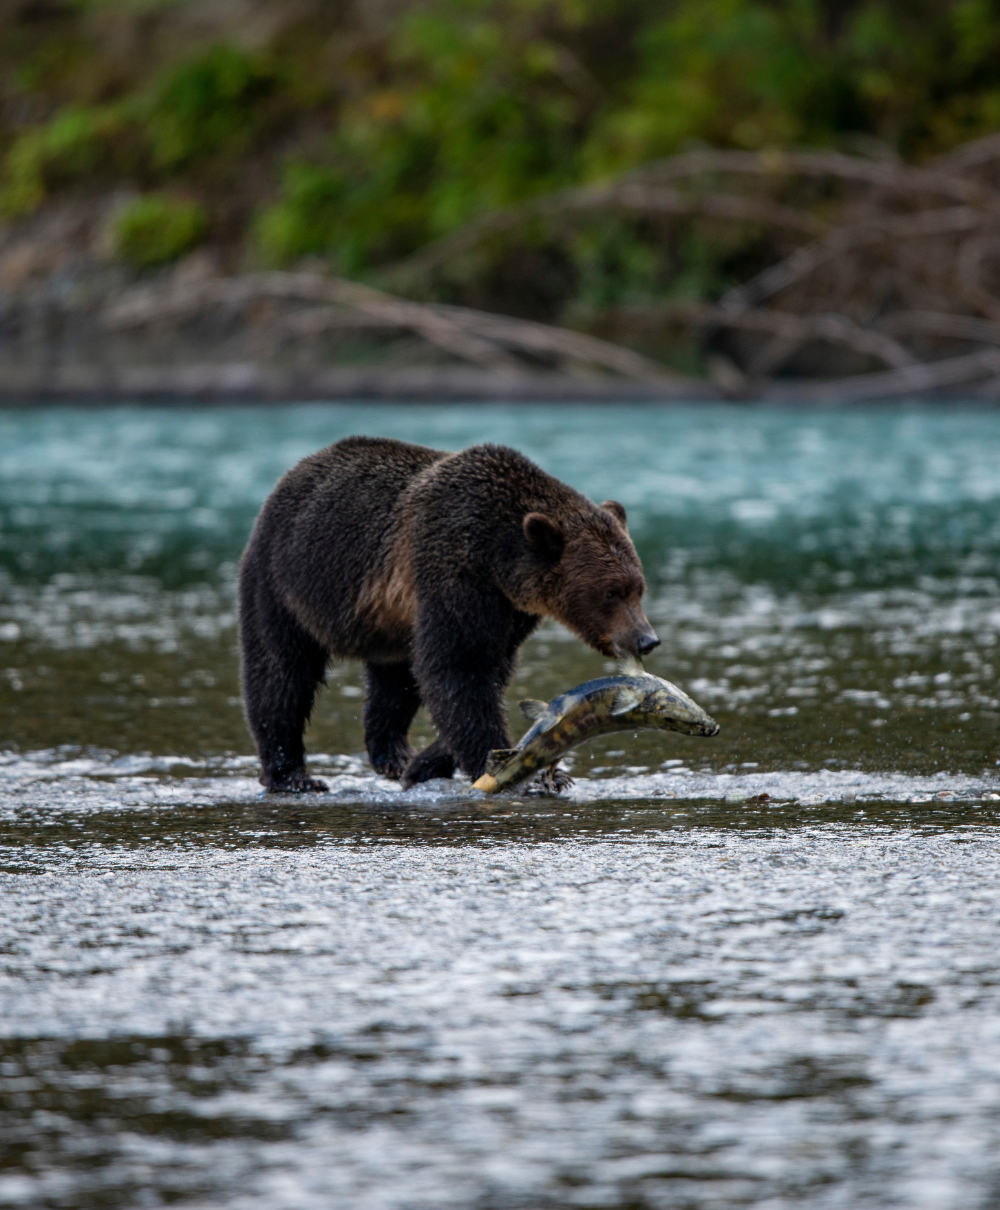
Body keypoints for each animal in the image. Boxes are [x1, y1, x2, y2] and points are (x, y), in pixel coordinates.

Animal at [237, 435, 658, 793]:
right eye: (610, 593)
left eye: (638, 587)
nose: (646, 639)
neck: (498, 556)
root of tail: (297, 470)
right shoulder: (454, 572)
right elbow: (458, 667)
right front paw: (517, 770)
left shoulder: (510, 609)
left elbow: (482, 671)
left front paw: (425, 764)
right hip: (284, 578)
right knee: (281, 671)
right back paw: (291, 774)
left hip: (386, 622)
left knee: (394, 682)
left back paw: (393, 755)